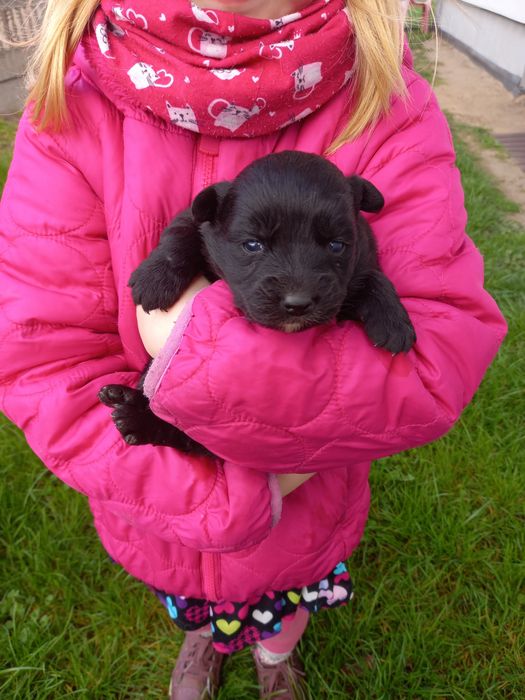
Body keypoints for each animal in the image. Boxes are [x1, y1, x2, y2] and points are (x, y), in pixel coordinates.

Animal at [100, 150, 416, 452]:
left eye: (336, 245)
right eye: (253, 245)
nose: (298, 303)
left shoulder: (363, 252)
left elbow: (371, 277)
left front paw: (393, 321)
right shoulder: (202, 223)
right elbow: (181, 231)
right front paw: (155, 278)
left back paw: (133, 415)